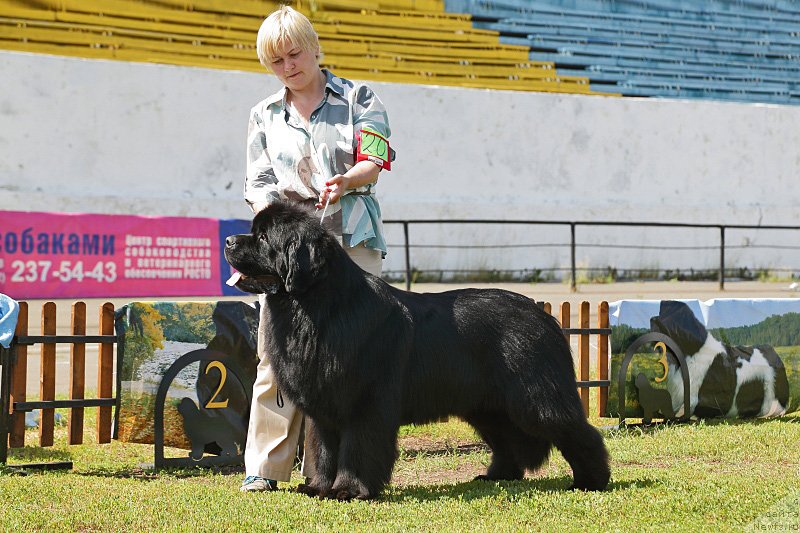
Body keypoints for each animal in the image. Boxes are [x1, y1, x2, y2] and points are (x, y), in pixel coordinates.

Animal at [222, 203, 608, 498]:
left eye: (262, 237)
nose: (227, 240)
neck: (317, 307)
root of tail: (543, 314)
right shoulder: (324, 407)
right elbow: (323, 451)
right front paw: (318, 487)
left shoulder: (364, 403)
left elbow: (356, 449)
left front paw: (348, 490)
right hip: (487, 405)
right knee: (506, 439)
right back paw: (496, 475)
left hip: (536, 399)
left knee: (578, 431)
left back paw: (592, 480)